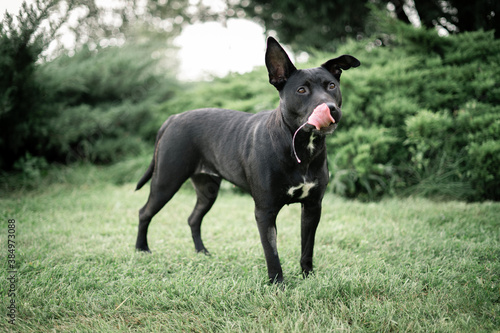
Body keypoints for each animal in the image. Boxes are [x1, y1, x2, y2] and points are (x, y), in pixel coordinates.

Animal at [135, 37, 358, 282]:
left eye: (331, 86)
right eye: (301, 90)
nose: (330, 108)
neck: (300, 147)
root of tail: (173, 118)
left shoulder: (312, 206)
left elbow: (307, 247)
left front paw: (308, 277)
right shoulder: (265, 211)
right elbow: (272, 252)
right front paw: (277, 283)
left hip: (207, 191)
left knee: (193, 218)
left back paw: (202, 252)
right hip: (166, 182)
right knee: (144, 212)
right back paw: (141, 249)